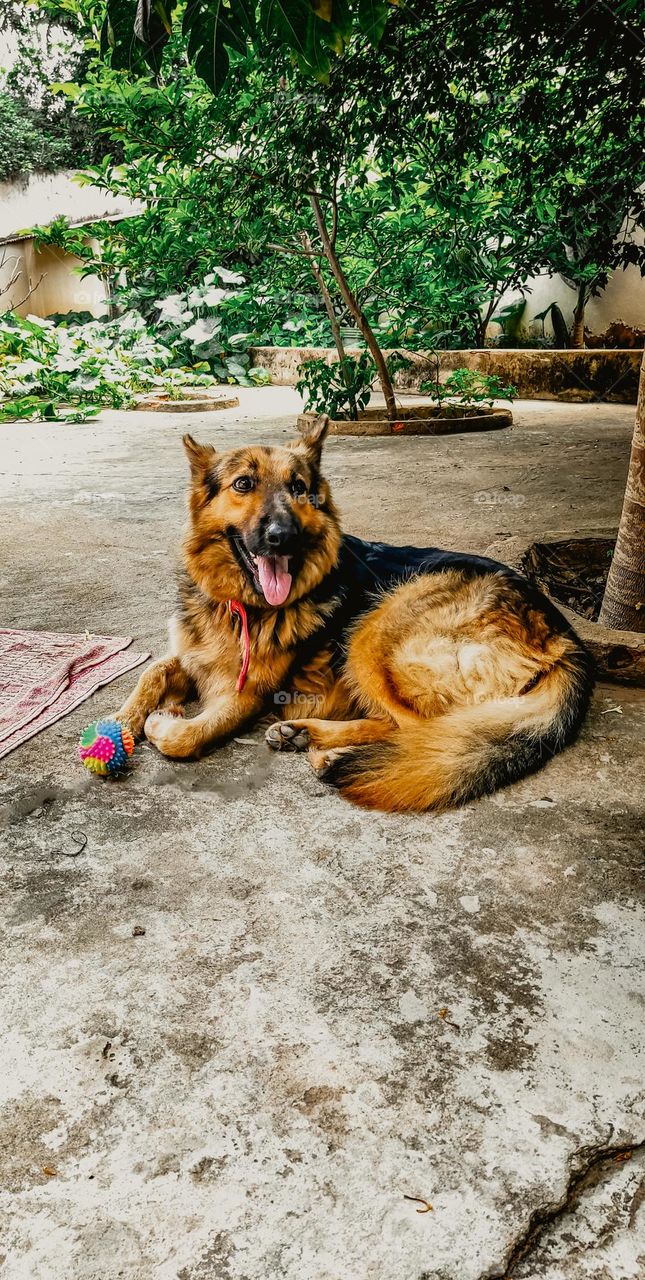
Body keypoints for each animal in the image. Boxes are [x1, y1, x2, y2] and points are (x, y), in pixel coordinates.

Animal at [117, 417, 593, 808]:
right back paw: (304, 734)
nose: (283, 536)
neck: (238, 606)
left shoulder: (247, 694)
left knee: (423, 730)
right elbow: (151, 672)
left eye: (298, 488)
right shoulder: (189, 656)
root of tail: (562, 633)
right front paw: (122, 720)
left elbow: (186, 736)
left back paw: (334, 754)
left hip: (376, 629)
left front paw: (162, 723)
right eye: (243, 484)